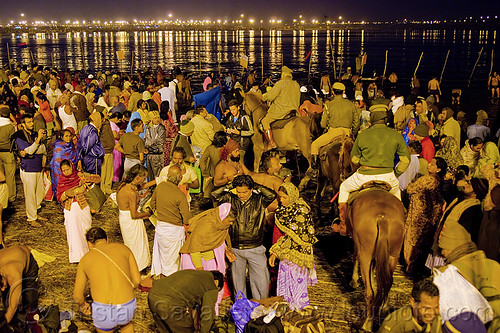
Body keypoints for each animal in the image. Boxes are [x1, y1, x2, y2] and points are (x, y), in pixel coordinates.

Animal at [348, 188, 406, 330]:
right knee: (385, 285)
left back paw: (367, 324)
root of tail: (382, 217)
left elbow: (355, 256)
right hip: (393, 255)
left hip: (366, 254)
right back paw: (383, 309)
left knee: (370, 292)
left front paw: (354, 280)